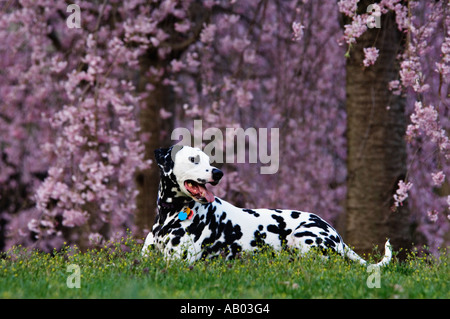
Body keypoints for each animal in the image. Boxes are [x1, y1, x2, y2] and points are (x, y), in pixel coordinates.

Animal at [142, 146, 392, 266]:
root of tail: (337, 235)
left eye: (208, 160)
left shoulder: (178, 262)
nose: (218, 173)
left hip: (301, 238)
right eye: (194, 159)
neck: (170, 214)